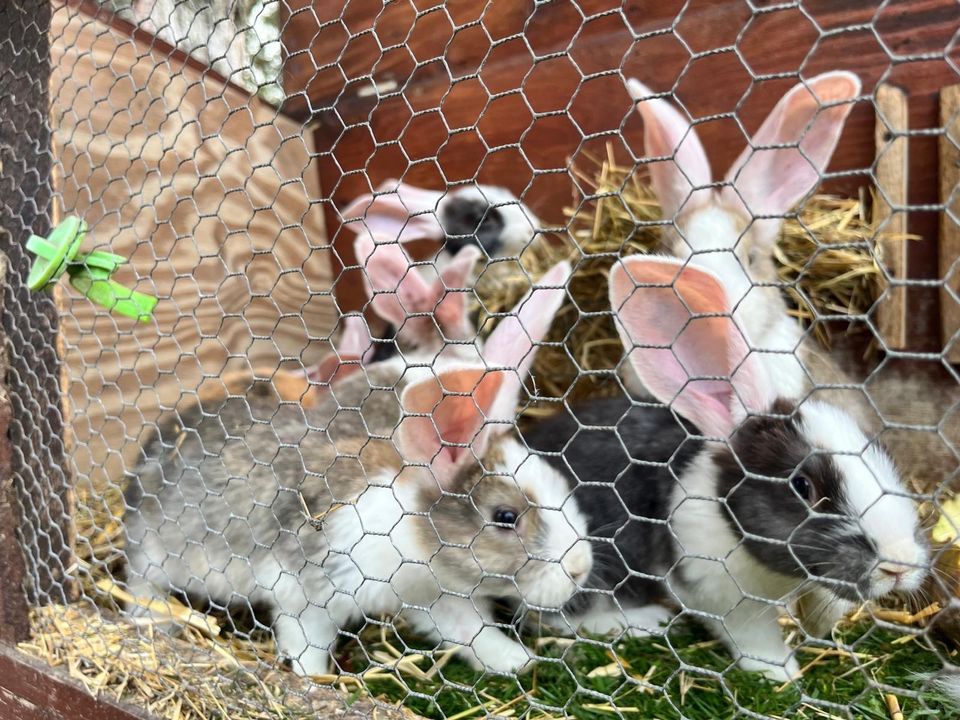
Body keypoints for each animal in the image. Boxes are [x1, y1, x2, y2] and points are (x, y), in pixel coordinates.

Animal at [124, 260, 592, 676]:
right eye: (506, 517)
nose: (580, 569)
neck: (406, 532)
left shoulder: (436, 598)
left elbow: (471, 632)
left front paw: (517, 662)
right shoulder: (306, 595)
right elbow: (306, 641)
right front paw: (312, 681)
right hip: (152, 555)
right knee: (140, 584)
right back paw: (154, 622)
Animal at [524, 256, 928, 684]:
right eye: (802, 486)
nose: (900, 565)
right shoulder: (720, 594)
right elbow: (754, 636)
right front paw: (781, 674)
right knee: (551, 616)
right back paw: (644, 620)